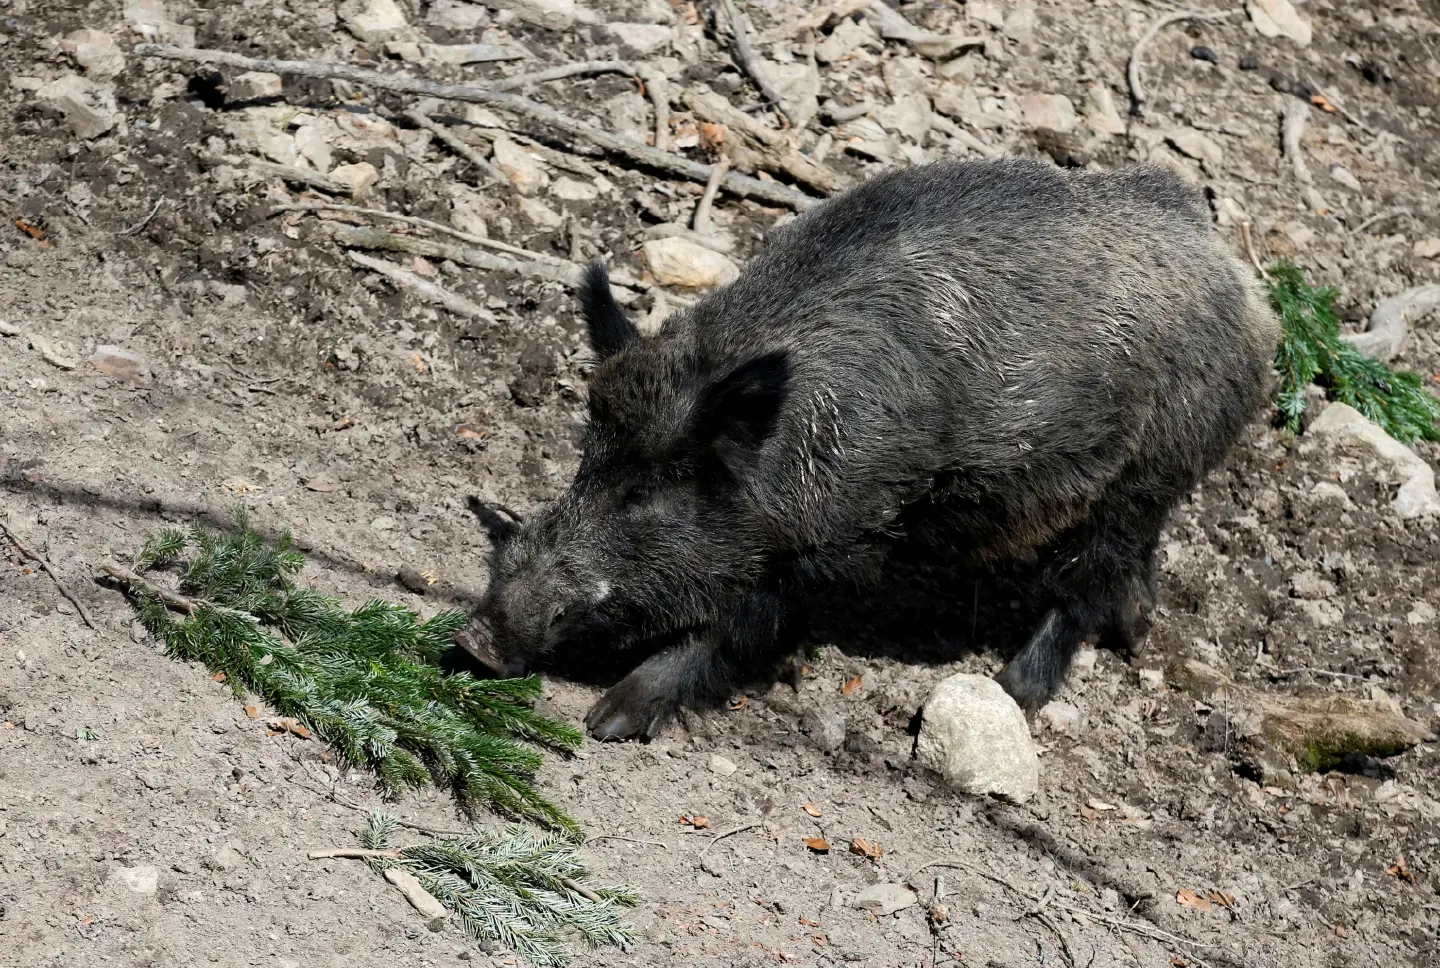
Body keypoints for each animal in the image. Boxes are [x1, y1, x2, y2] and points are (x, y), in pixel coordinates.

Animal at [472, 157, 1280, 741]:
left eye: (651, 489)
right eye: (586, 459)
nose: (479, 636)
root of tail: (1250, 299)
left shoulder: (836, 540)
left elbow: (735, 629)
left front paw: (605, 722)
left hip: (1140, 477)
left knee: (1086, 581)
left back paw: (1013, 689)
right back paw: (1134, 635)